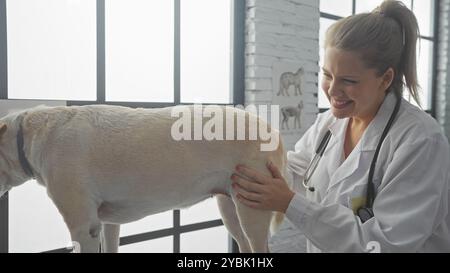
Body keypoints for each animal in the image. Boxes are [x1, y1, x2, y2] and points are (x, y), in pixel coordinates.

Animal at [0, 104, 286, 251]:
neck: (29, 134)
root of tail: (270, 128)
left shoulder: (84, 228)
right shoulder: (107, 224)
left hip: (251, 210)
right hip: (230, 209)